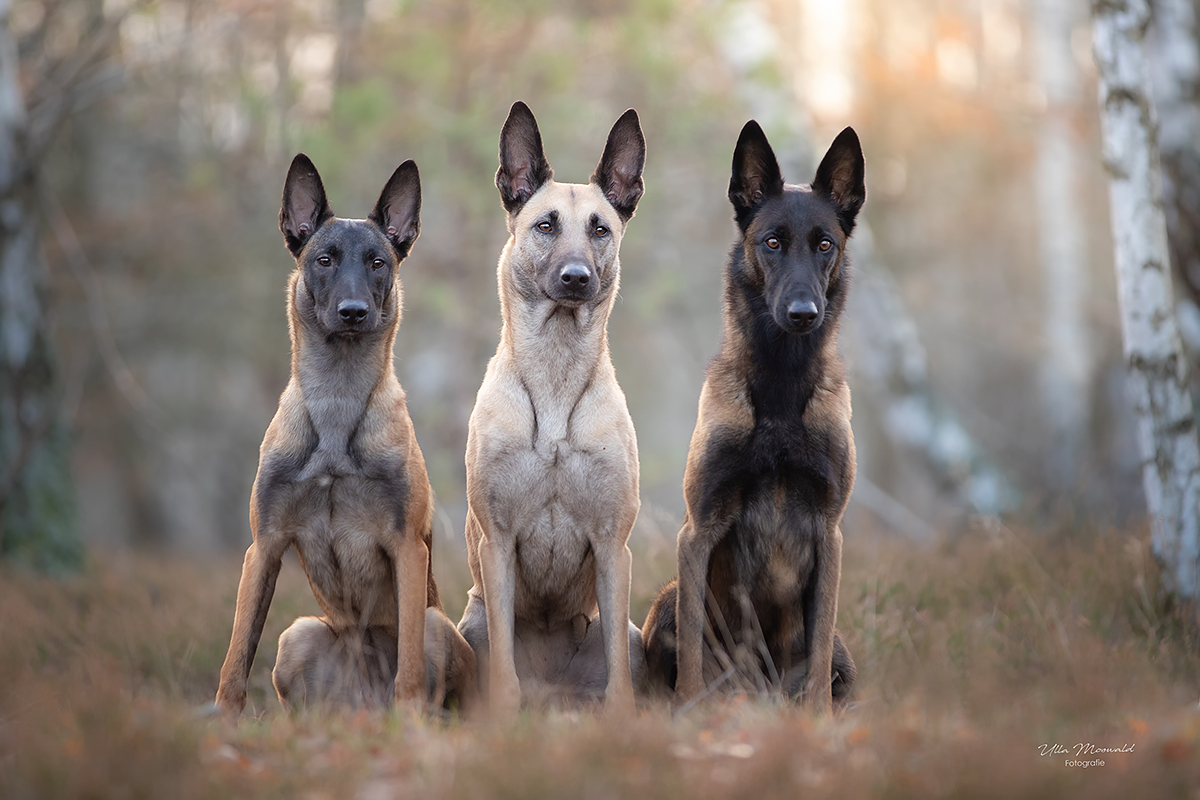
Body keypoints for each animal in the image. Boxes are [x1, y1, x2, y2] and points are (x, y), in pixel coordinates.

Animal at [213, 154, 475, 719]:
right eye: (325, 260)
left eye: (378, 262)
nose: (353, 311)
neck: (336, 406)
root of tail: (363, 709)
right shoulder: (264, 548)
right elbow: (236, 655)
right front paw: (222, 721)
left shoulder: (407, 549)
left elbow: (409, 671)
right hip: (297, 635)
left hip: (436, 626)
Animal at [456, 101, 648, 719]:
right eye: (545, 226)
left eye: (600, 229)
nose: (576, 278)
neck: (556, 381)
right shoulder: (497, 541)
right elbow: (502, 669)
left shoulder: (613, 545)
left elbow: (618, 675)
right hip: (471, 624)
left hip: (631, 635)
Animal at [648, 123, 864, 714]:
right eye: (771, 242)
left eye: (825, 244)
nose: (802, 314)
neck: (780, 392)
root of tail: (759, 690)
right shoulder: (698, 530)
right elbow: (691, 652)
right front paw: (688, 713)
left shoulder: (829, 534)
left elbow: (816, 651)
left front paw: (817, 717)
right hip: (665, 600)